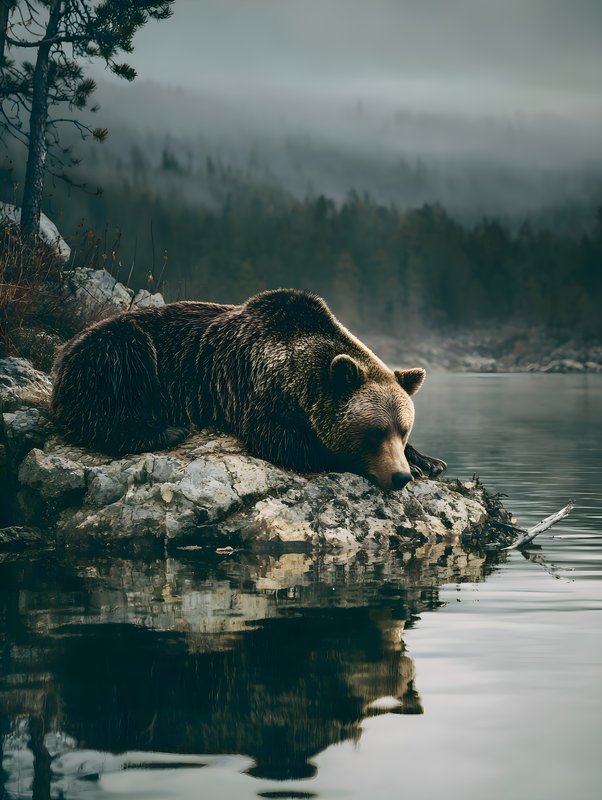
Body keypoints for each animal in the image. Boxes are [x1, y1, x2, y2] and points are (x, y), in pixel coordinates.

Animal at [51, 289, 446, 490]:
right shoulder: (257, 391)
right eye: (374, 432)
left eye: (403, 429)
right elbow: (284, 441)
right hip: (120, 353)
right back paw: (167, 429)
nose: (399, 477)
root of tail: (64, 348)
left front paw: (429, 461)